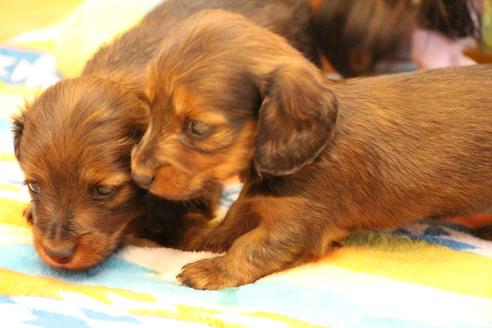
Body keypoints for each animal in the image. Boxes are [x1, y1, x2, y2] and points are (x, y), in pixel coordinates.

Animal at [130, 9, 492, 290]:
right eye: (148, 107)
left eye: (198, 128)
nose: (138, 176)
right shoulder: (256, 199)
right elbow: (231, 224)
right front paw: (194, 239)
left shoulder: (300, 223)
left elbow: (251, 245)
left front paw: (214, 269)